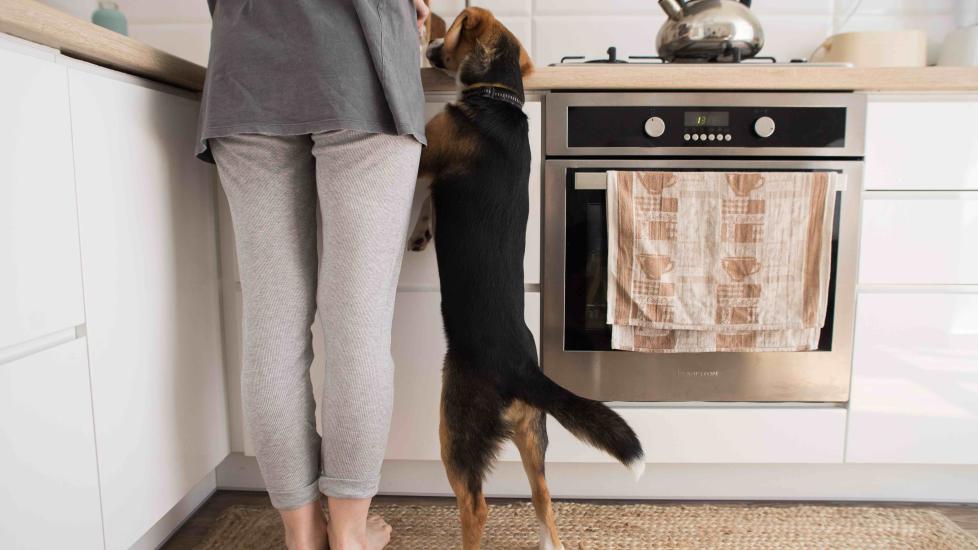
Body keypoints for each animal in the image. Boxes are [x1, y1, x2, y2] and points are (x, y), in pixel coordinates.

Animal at [408, 8, 644, 550]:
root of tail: (522, 371)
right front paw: (421, 232)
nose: (429, 45)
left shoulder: (428, 153)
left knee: (475, 506)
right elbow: (427, 204)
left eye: (449, 29)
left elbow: (422, 179)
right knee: (544, 500)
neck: (500, 95)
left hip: (455, 428)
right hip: (533, 435)